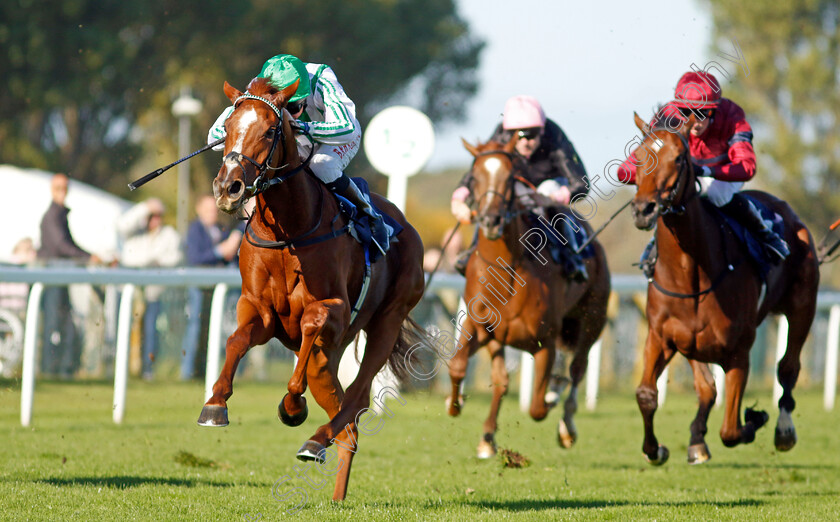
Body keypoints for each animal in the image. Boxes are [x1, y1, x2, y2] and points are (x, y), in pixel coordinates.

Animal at [197, 75, 426, 498]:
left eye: (270, 130)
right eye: (228, 128)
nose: (228, 188)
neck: (289, 230)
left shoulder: (334, 309)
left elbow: (309, 323)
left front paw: (292, 406)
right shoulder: (259, 310)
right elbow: (235, 340)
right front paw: (215, 404)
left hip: (386, 321)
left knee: (357, 397)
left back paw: (316, 440)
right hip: (327, 359)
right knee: (348, 425)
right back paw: (334, 486)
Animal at [446, 136, 612, 458]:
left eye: (511, 177)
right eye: (473, 177)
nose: (491, 219)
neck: (505, 270)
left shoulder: (545, 342)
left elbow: (537, 408)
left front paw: (551, 398)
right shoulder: (483, 329)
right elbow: (465, 368)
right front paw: (458, 408)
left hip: (592, 320)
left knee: (577, 369)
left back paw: (566, 423)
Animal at [632, 111, 820, 462]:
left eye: (678, 158)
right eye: (637, 157)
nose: (643, 210)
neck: (690, 273)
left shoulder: (739, 354)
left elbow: (731, 431)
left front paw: (756, 417)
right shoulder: (661, 337)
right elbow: (647, 394)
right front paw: (656, 450)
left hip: (803, 307)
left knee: (788, 368)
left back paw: (784, 429)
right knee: (707, 388)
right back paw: (696, 441)